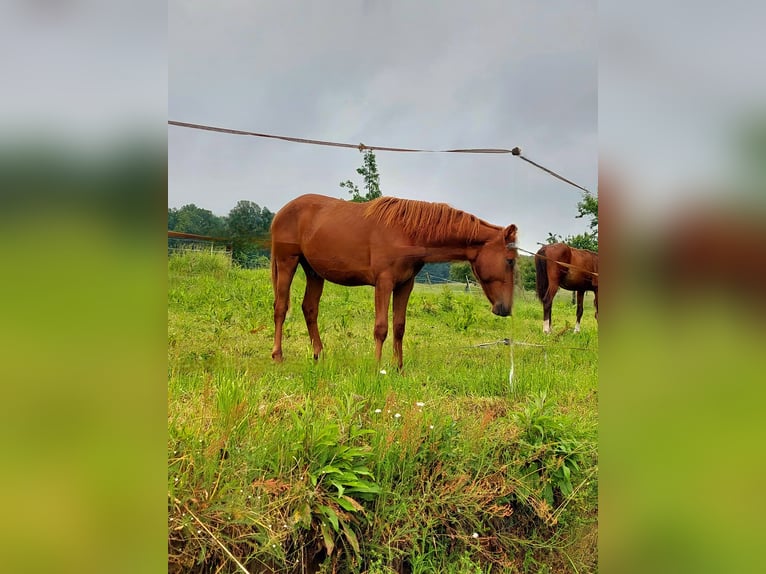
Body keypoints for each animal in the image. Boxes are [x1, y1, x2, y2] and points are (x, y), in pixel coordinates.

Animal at [272, 196, 520, 372]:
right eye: (509, 260)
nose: (505, 308)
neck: (408, 233)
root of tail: (283, 210)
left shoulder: (404, 284)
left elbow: (399, 327)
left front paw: (398, 368)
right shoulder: (384, 282)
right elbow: (381, 328)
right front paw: (376, 367)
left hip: (314, 272)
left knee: (310, 309)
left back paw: (319, 355)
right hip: (287, 263)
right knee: (280, 308)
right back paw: (278, 355)